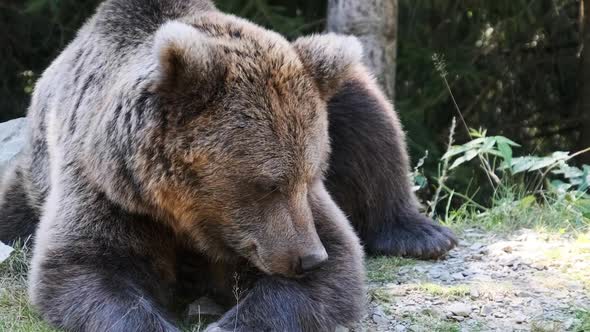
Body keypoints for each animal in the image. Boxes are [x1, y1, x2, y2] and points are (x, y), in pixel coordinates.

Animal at [0, 0, 458, 330]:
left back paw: (422, 234)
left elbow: (337, 265)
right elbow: (85, 266)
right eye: (268, 183)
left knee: (367, 110)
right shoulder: (108, 189)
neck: (187, 216)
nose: (309, 257)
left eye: (311, 176)